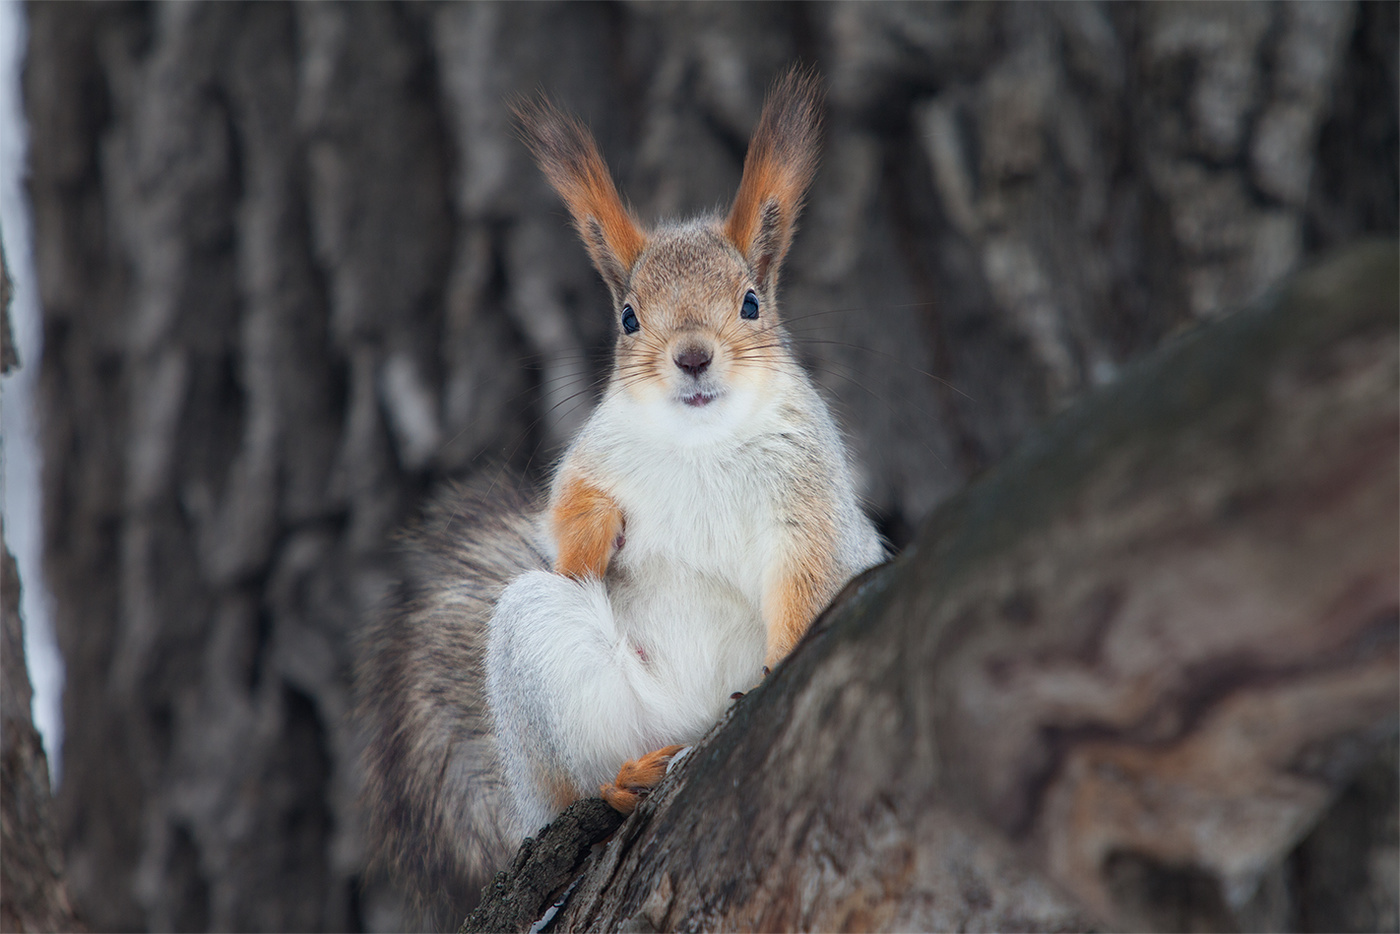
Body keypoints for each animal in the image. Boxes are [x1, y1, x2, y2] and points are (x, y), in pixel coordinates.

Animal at [361, 69, 884, 918]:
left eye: (751, 301)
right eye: (629, 317)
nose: (693, 357)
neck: (700, 442)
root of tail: (695, 722)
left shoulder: (810, 500)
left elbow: (809, 576)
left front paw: (787, 654)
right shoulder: (590, 459)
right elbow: (565, 517)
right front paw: (597, 535)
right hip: (541, 652)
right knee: (578, 773)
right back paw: (622, 781)